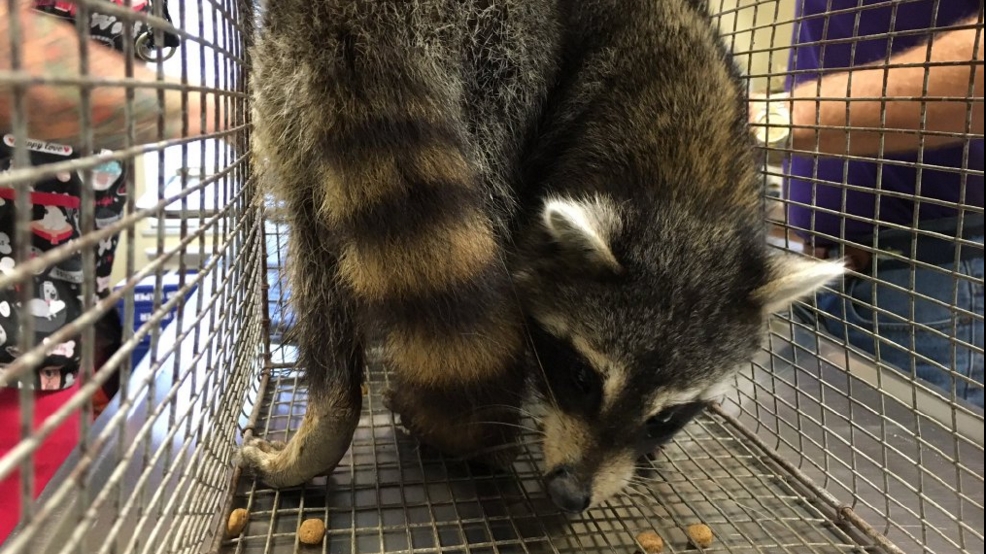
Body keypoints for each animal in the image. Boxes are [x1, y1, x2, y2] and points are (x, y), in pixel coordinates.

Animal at [238, 0, 844, 513]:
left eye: (668, 415)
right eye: (581, 377)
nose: (572, 496)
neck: (688, 178)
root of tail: (349, 14)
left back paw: (333, 408)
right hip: (489, 51)